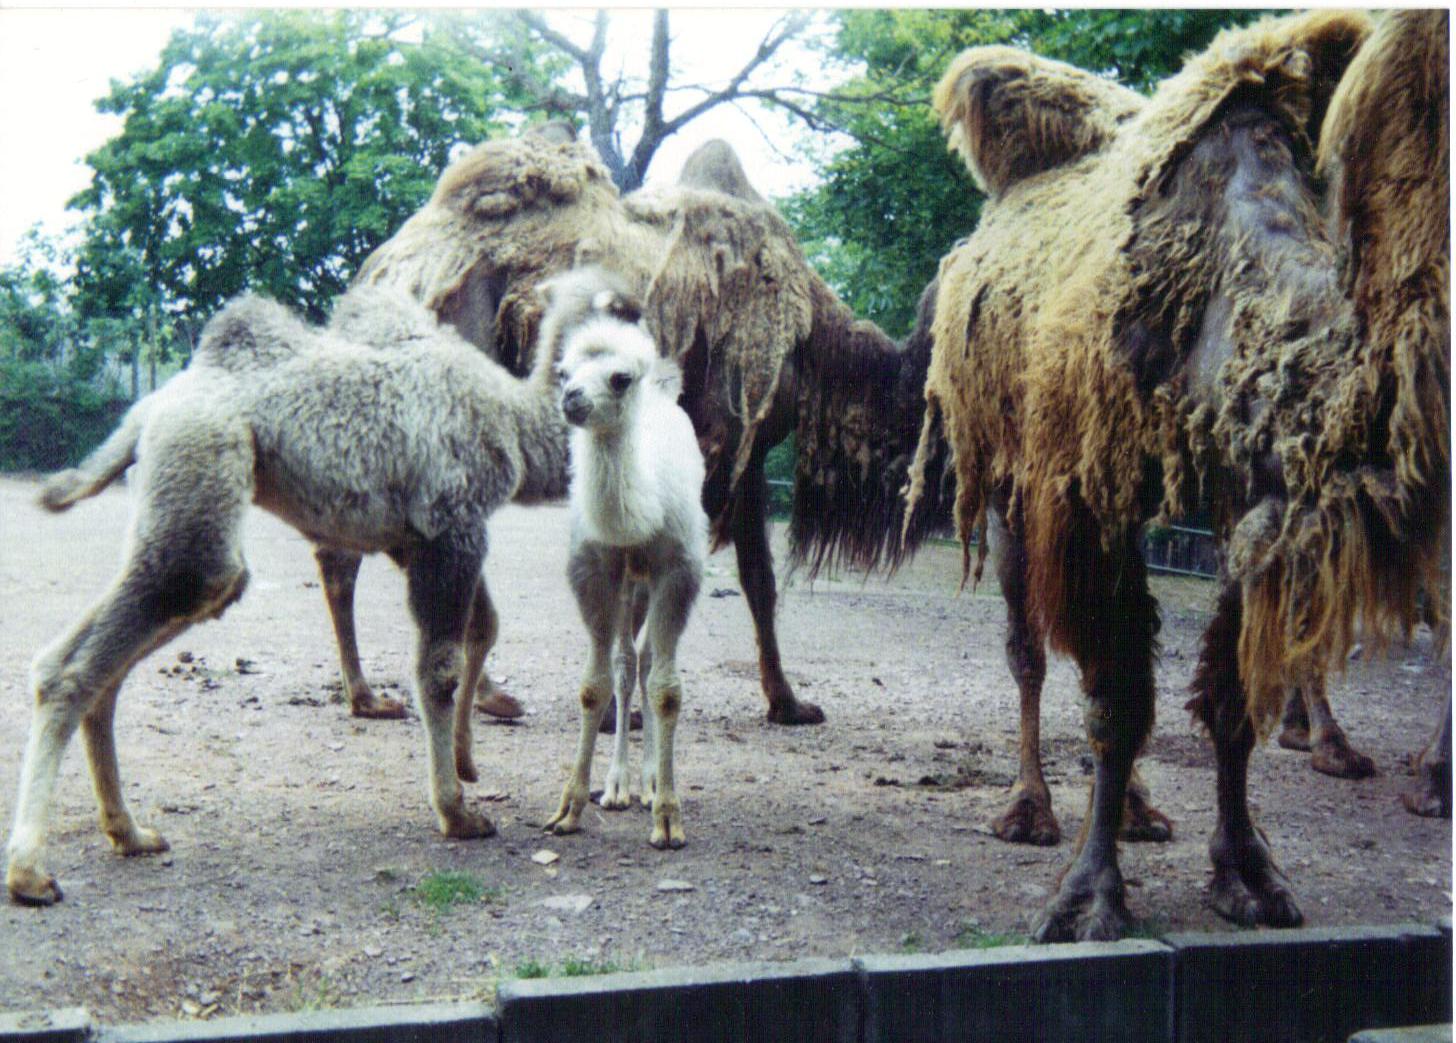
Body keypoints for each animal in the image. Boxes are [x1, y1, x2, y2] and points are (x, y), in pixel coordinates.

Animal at [3, 275, 630, 906]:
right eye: (619, 306)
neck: (514, 417)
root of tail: (150, 407)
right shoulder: (451, 524)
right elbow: (439, 669)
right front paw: (457, 812)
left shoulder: (417, 540)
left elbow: (483, 628)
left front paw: (467, 758)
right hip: (203, 465)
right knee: (105, 643)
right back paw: (30, 870)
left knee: (112, 653)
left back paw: (129, 833)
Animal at [542, 268, 709, 848]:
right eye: (563, 371)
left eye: (619, 378)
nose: (571, 397)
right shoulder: (592, 569)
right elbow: (593, 686)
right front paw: (568, 809)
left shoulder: (680, 569)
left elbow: (668, 690)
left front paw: (669, 819)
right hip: (629, 583)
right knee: (626, 663)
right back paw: (618, 787)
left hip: (647, 580)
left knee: (648, 663)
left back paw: (652, 781)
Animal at [902, 10, 1448, 939]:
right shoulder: (1085, 493)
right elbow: (1116, 697)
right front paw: (1088, 899)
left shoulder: (1242, 495)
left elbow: (1225, 698)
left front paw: (1250, 875)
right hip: (1005, 476)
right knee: (1029, 649)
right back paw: (1030, 809)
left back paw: (1137, 808)